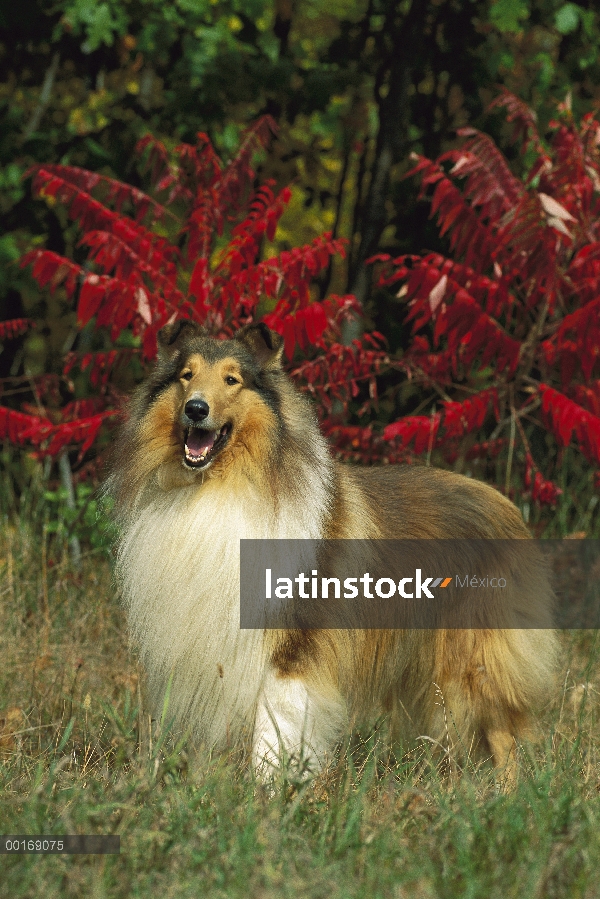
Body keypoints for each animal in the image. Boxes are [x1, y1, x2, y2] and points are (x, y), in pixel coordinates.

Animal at [110, 322, 560, 780]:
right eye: (186, 375)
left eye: (232, 380)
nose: (196, 409)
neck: (222, 486)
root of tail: (505, 504)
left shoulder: (291, 649)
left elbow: (274, 733)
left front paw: (268, 791)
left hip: (472, 661)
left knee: (504, 736)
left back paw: (505, 793)